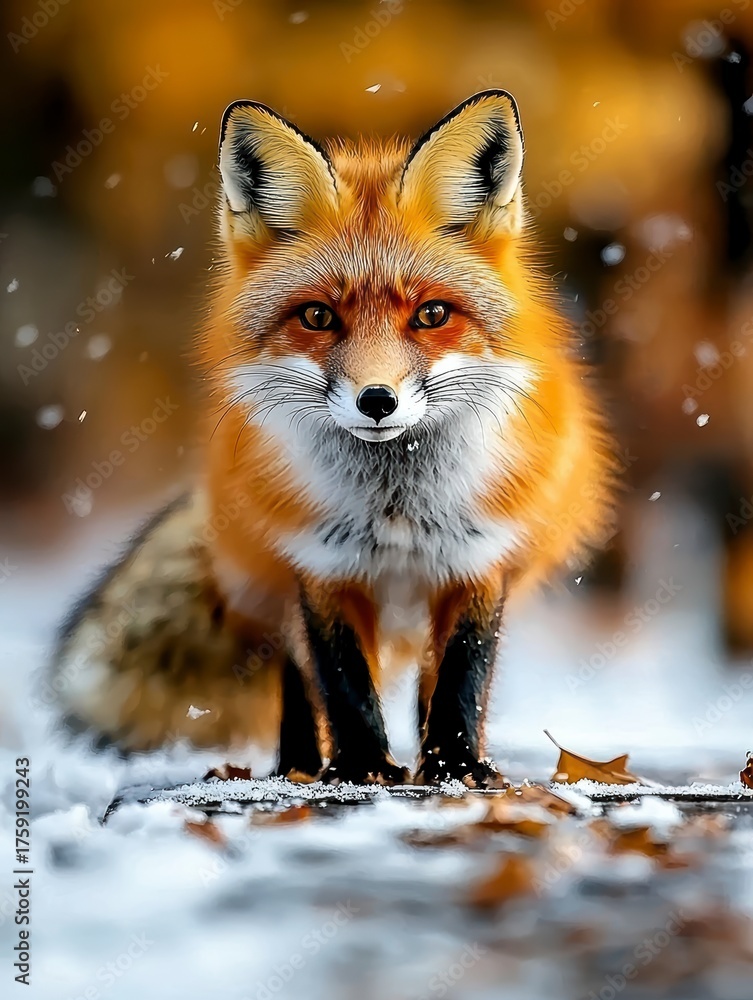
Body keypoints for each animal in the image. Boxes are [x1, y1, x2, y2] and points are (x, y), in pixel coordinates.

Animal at [53, 91, 615, 786]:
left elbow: (463, 673)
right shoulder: (318, 563)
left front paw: (456, 766)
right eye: (319, 316)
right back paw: (298, 766)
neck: (397, 509)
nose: (377, 401)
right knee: (296, 678)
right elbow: (340, 678)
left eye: (431, 314)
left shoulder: (478, 559)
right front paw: (361, 767)